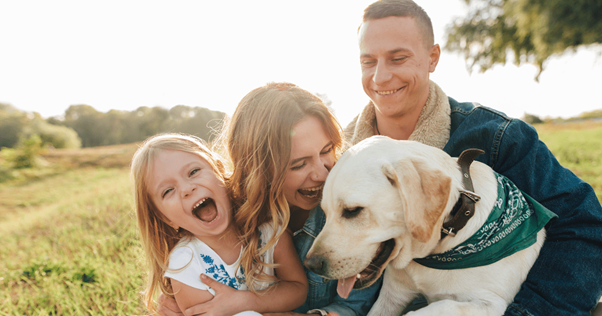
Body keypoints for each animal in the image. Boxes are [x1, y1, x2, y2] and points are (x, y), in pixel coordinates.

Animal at [304, 136, 548, 316]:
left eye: (352, 211)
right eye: (325, 212)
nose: (311, 265)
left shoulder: (490, 303)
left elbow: (439, 307)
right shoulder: (393, 293)